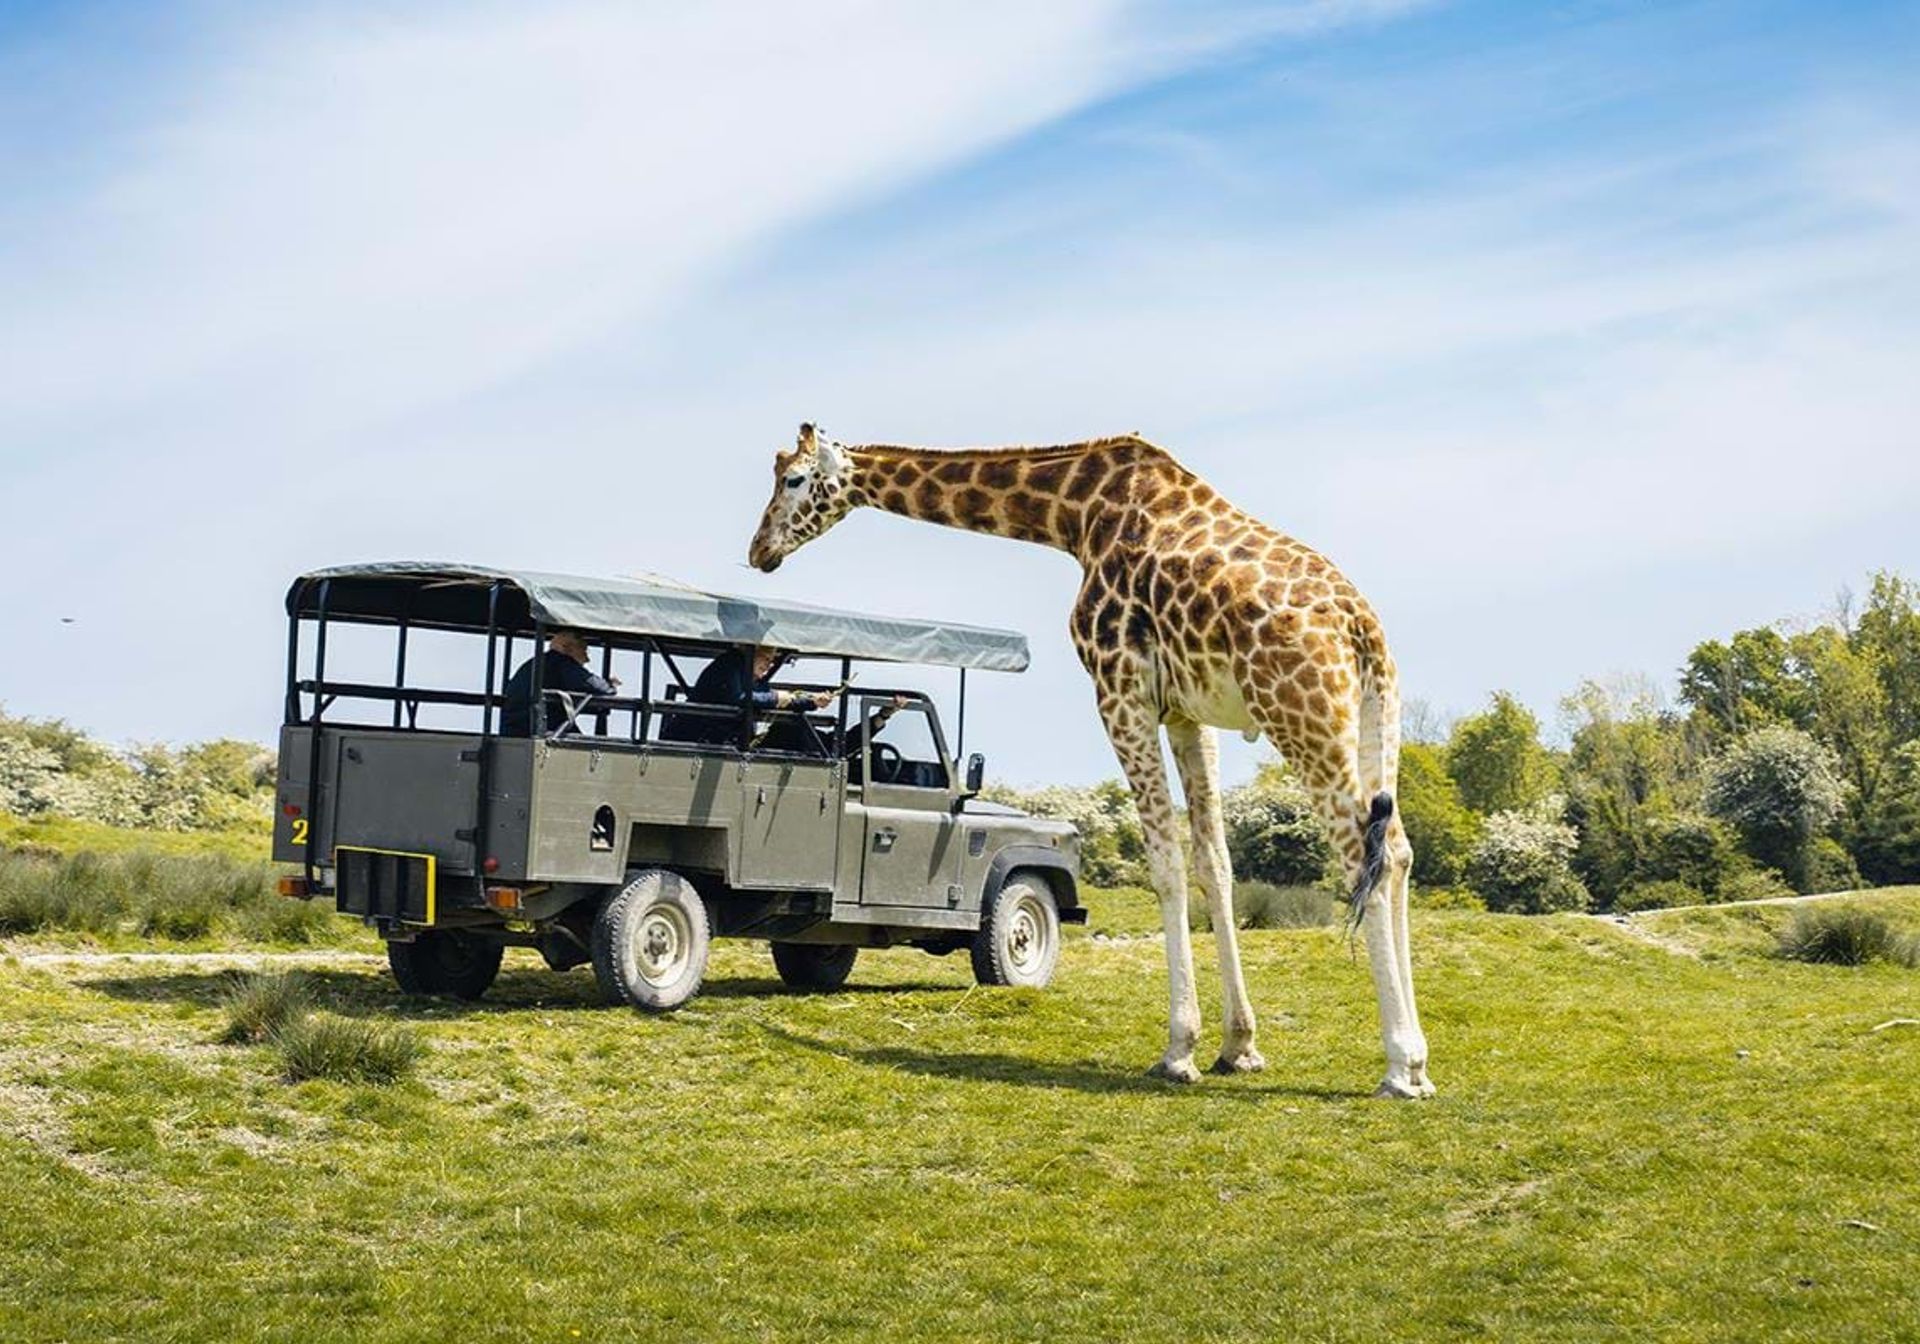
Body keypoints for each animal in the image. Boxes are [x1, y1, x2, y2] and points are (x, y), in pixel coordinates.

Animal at [746, 424, 1433, 1098]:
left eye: (794, 479)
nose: (759, 551)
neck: (1074, 515)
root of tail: (1361, 629)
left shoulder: (1119, 688)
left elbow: (1165, 864)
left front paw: (1179, 1050)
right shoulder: (1188, 713)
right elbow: (1214, 864)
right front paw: (1239, 1046)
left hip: (1300, 713)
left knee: (1358, 852)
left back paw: (1399, 1064)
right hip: (1376, 716)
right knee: (1396, 850)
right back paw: (1419, 1063)